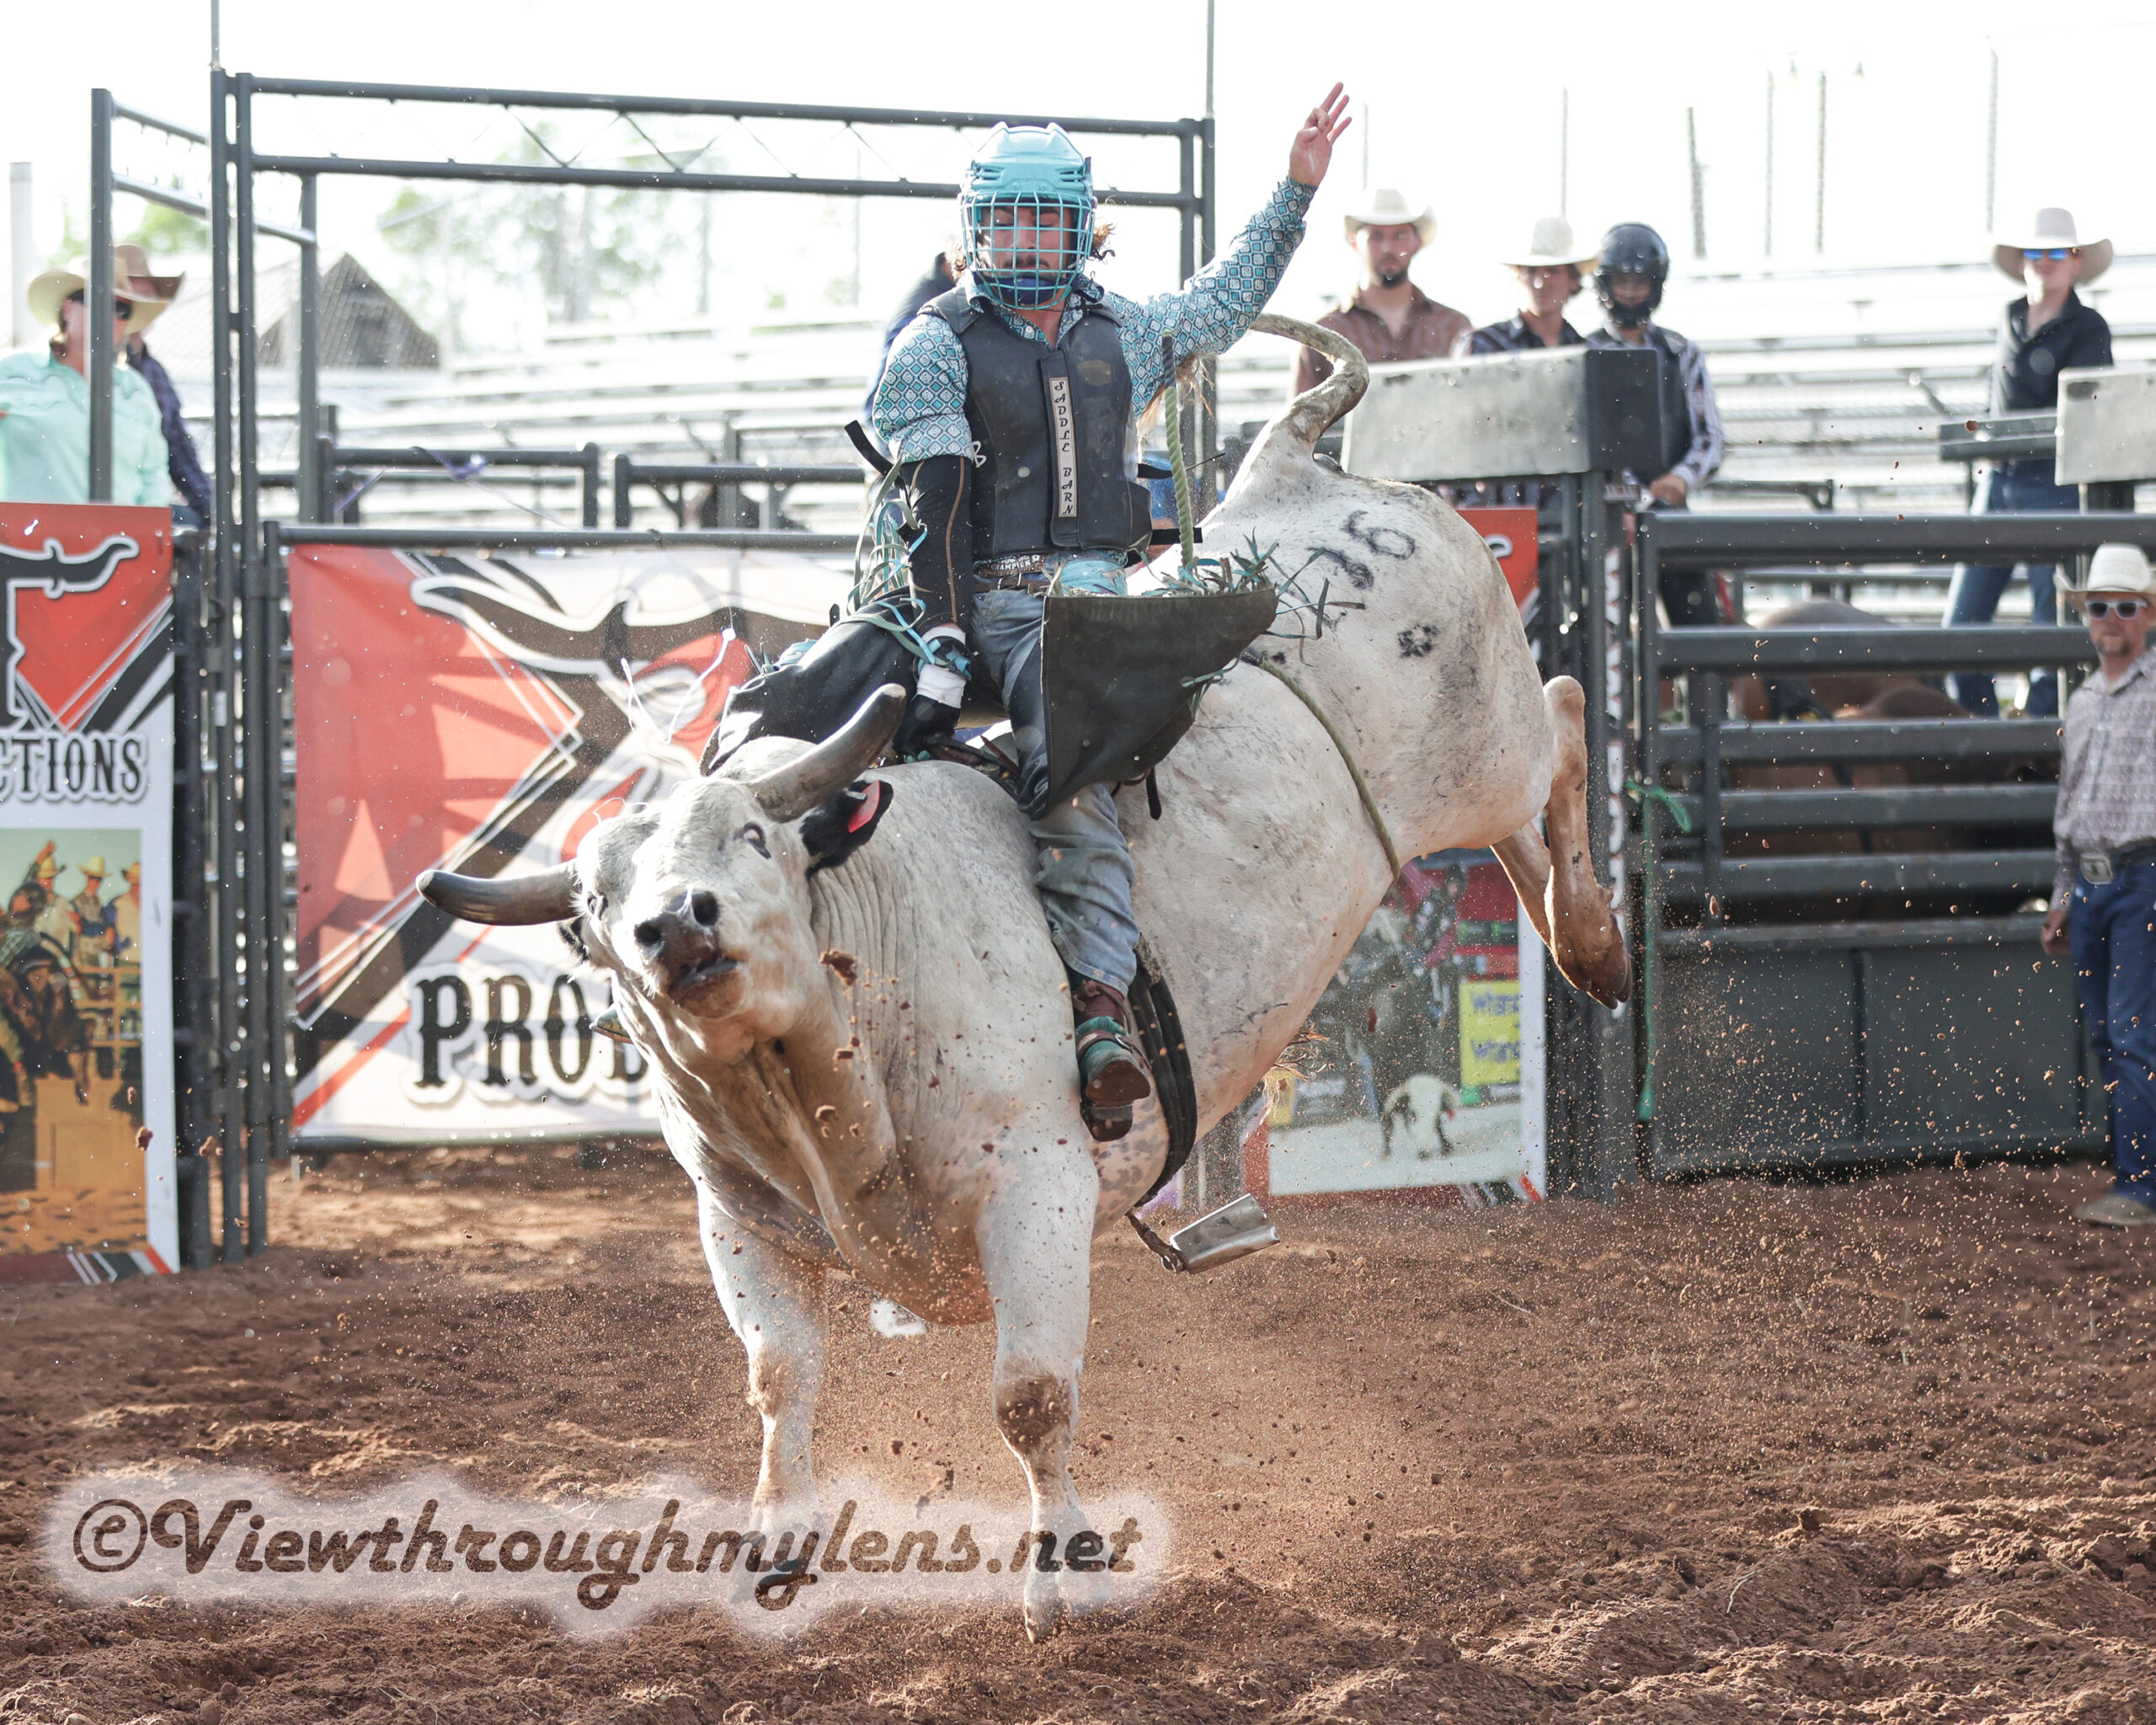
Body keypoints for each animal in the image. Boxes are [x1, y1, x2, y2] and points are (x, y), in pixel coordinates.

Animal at [416, 318, 1630, 1630]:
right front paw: (779, 1545)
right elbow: (781, 1376)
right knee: (1529, 820)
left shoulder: (1037, 1193)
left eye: (754, 838)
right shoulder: (739, 1224)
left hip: (1485, 745)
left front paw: (1065, 1565)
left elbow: (1031, 1394)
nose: (674, 926)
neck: (838, 1056)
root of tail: (1291, 468)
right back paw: (1577, 937)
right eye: (592, 906)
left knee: (1564, 718)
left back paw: (1597, 943)